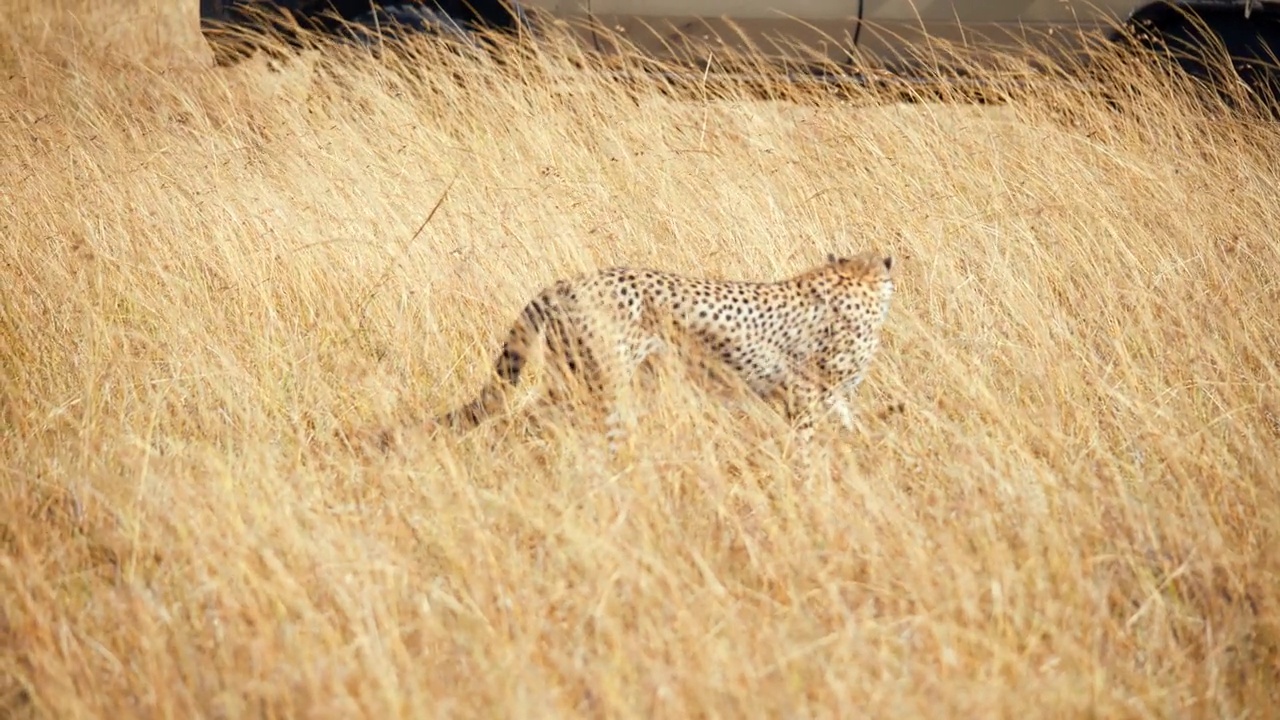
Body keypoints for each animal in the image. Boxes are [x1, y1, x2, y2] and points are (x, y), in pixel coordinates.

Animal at [430, 249, 890, 445]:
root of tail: (564, 283)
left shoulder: (828, 398)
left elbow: (853, 429)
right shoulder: (805, 393)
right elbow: (810, 447)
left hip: (574, 378)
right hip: (601, 384)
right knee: (534, 418)